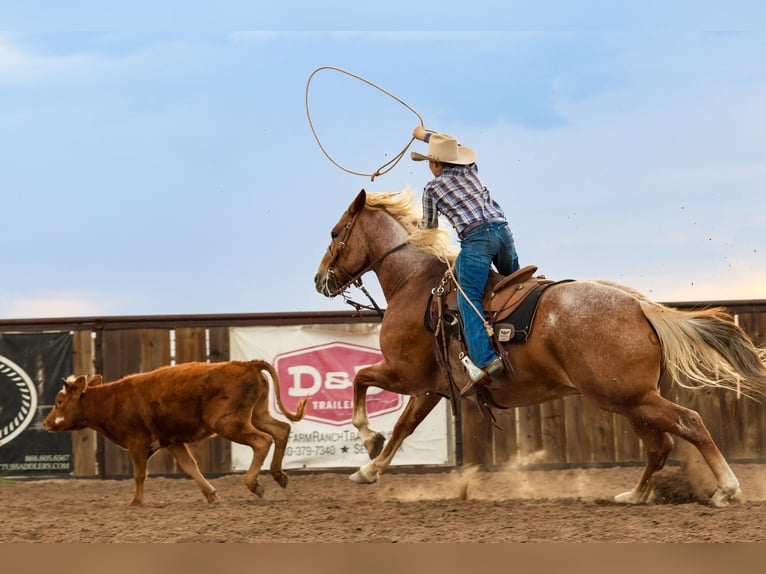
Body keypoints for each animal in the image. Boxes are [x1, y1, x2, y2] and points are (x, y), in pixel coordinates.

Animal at [313, 189, 766, 507]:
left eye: (336, 233)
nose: (320, 279)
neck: (415, 283)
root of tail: (640, 305)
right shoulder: (431, 387)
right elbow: (403, 427)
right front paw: (370, 469)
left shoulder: (405, 373)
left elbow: (360, 380)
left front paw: (368, 439)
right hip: (630, 399)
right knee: (660, 445)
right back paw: (634, 496)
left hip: (628, 397)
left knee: (689, 423)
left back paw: (726, 489)